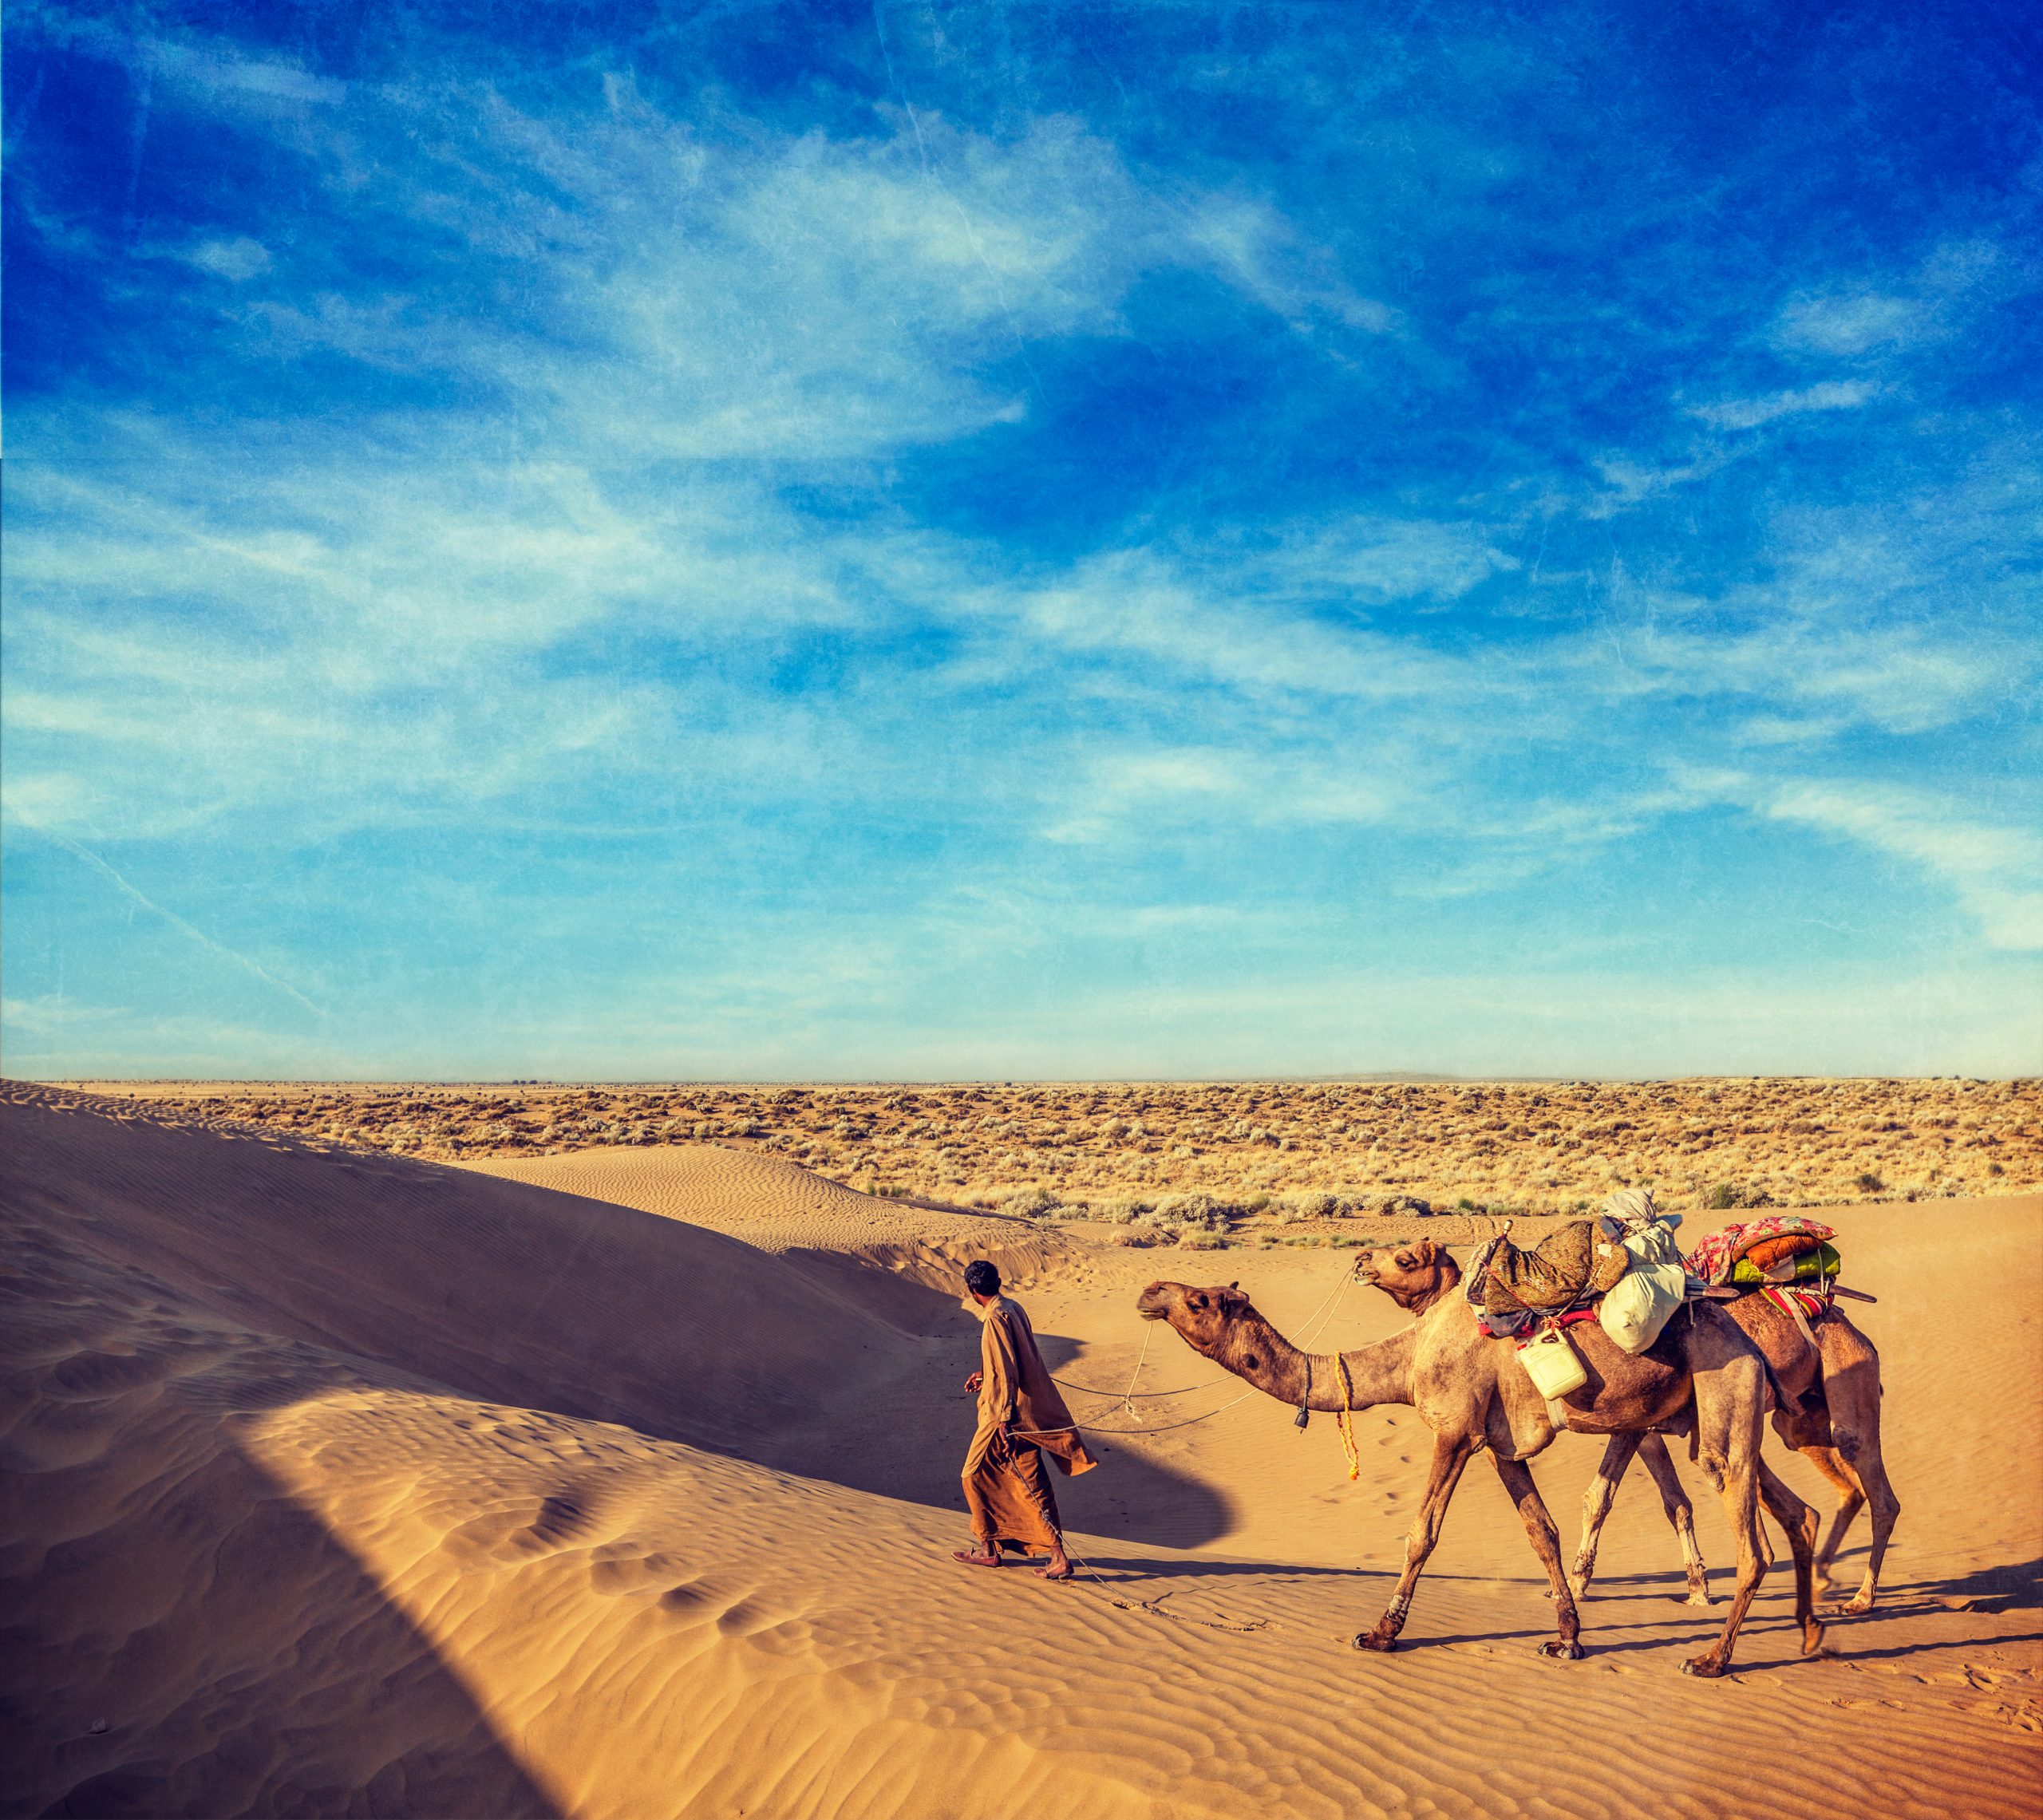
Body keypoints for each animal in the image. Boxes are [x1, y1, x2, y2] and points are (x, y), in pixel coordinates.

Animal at [1144, 1250, 1830, 1683]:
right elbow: (1541, 1532)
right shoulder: (1503, 1447)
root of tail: (1751, 1344)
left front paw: (1382, 1632)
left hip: (1723, 1399)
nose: (1150, 1291)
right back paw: (1810, 1632)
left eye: (1199, 1300)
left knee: (1753, 1544)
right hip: (1720, 1415)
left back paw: (1712, 1659)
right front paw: (1568, 1637)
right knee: (1796, 1510)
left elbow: (1422, 1532)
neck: (1409, 1356)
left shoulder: (1455, 1429)